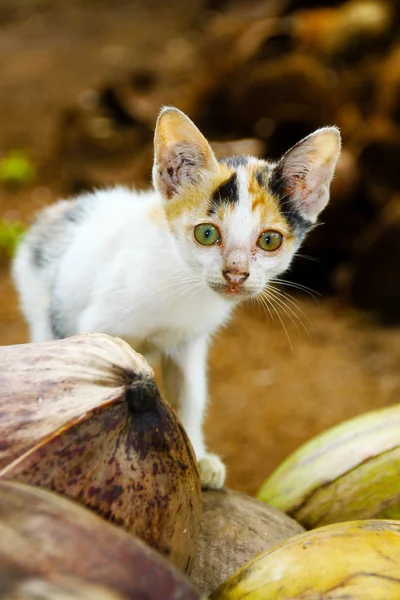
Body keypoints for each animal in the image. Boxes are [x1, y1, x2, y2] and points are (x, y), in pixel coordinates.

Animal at [14, 108, 342, 490]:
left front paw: (199, 457)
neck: (186, 285)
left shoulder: (188, 342)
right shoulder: (98, 324)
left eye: (270, 240)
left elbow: (190, 395)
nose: (235, 273)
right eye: (206, 234)